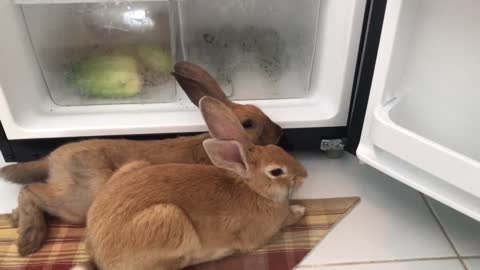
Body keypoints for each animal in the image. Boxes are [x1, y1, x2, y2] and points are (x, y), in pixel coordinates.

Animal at [0, 61, 284, 258]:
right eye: (248, 123)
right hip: (80, 200)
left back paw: (15, 220)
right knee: (31, 191)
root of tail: (51, 159)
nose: (280, 131)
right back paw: (28, 238)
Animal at [75, 96, 308, 270]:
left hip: (133, 166)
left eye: (277, 149)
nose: (304, 174)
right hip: (171, 219)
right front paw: (299, 210)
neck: (254, 189)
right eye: (276, 172)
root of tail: (97, 252)